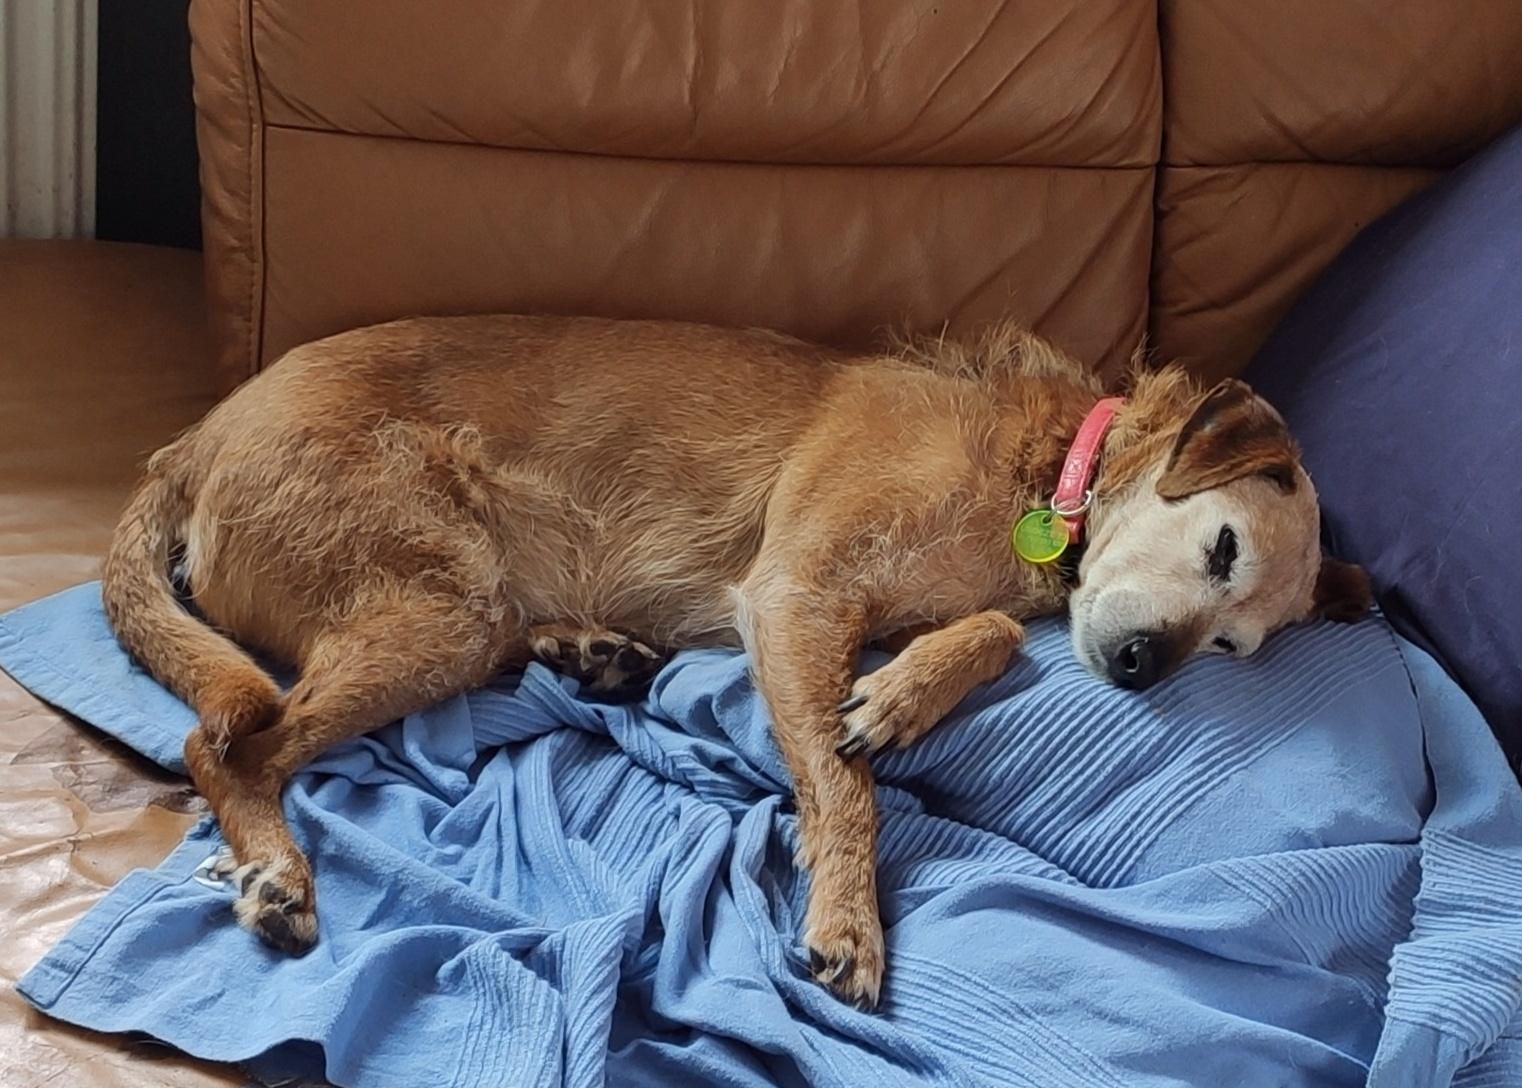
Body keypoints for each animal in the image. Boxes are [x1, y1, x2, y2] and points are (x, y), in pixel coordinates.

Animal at [101, 315, 1369, 1006]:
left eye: (1238, 645)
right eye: (1220, 545)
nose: (1148, 666)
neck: (1044, 471)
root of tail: (190, 441)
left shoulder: (867, 602)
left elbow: (997, 632)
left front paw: (903, 690)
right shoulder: (797, 591)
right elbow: (848, 791)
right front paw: (850, 915)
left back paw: (589, 646)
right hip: (435, 600)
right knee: (225, 747)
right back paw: (275, 871)